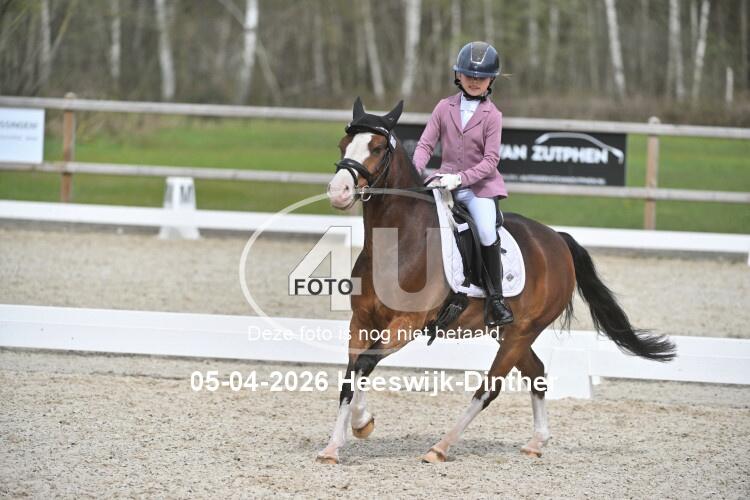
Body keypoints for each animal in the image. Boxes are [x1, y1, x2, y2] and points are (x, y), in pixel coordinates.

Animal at [317, 98, 675, 464]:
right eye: (344, 145)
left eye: (376, 148)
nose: (338, 192)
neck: (399, 241)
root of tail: (558, 240)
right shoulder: (362, 320)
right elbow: (353, 371)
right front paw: (339, 441)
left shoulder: (408, 323)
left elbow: (364, 362)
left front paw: (360, 425)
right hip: (509, 331)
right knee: (536, 372)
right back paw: (536, 442)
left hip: (521, 332)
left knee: (489, 388)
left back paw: (440, 448)